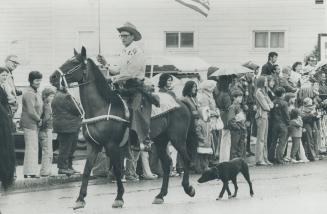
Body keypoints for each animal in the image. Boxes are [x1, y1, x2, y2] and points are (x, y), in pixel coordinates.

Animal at [50, 46, 196, 209]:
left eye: (74, 62)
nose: (53, 77)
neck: (102, 106)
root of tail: (181, 102)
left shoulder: (112, 145)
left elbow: (118, 170)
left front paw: (119, 198)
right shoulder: (94, 145)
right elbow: (87, 170)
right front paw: (80, 199)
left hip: (178, 139)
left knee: (186, 159)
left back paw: (188, 188)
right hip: (160, 140)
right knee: (166, 164)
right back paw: (160, 195)